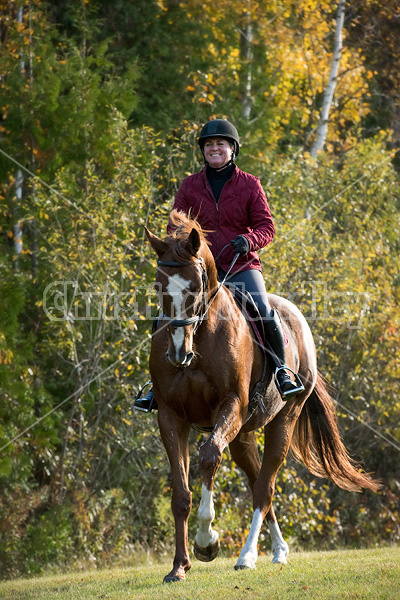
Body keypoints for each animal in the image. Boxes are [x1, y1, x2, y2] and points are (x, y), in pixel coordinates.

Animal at [145, 211, 382, 580]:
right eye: (158, 286)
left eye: (195, 286)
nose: (178, 353)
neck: (201, 339)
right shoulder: (170, 416)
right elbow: (180, 494)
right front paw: (179, 566)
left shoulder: (230, 405)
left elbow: (209, 456)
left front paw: (207, 541)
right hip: (242, 436)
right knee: (257, 479)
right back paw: (276, 549)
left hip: (283, 421)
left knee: (263, 488)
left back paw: (248, 555)